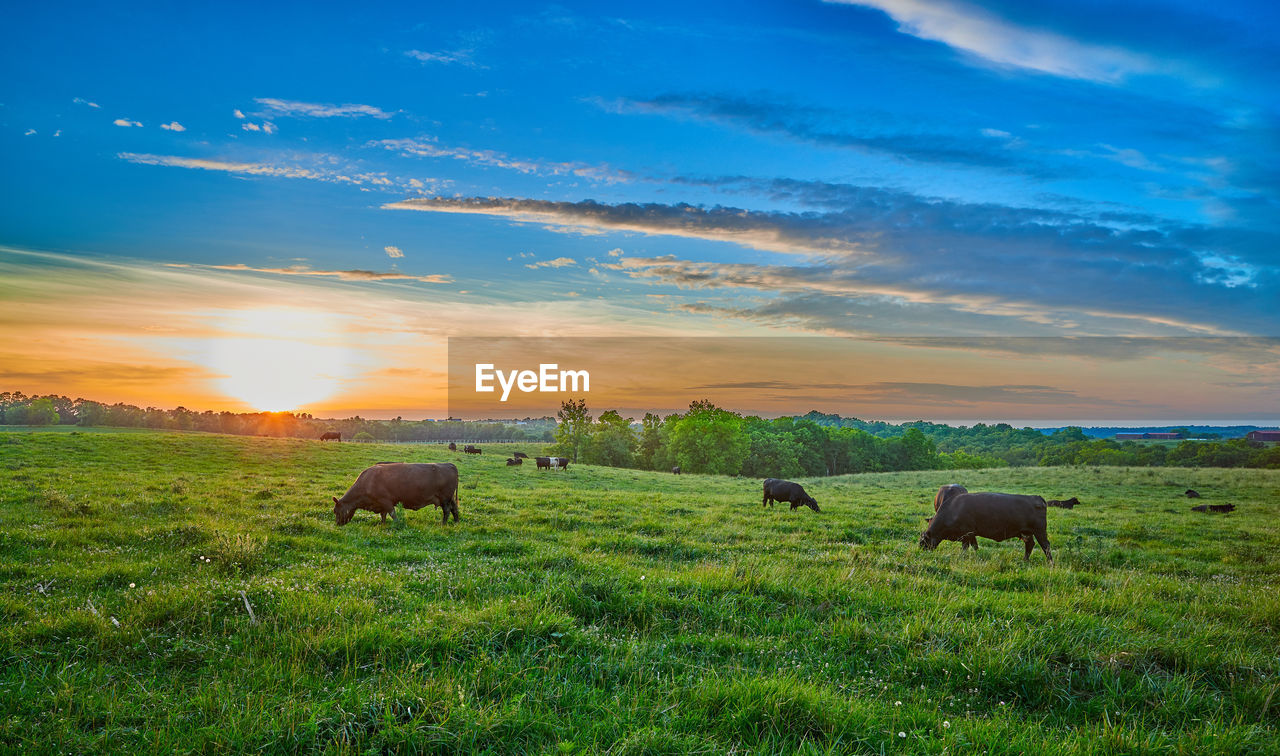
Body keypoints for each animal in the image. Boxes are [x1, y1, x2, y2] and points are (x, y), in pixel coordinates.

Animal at [926, 493, 1054, 565]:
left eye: (924, 539)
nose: (922, 550)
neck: (953, 510)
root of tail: (1037, 498)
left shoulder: (967, 534)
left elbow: (965, 548)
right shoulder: (972, 534)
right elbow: (975, 546)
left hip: (1040, 532)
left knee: (1046, 546)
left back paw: (1050, 563)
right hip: (1026, 533)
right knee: (1030, 545)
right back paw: (1024, 561)